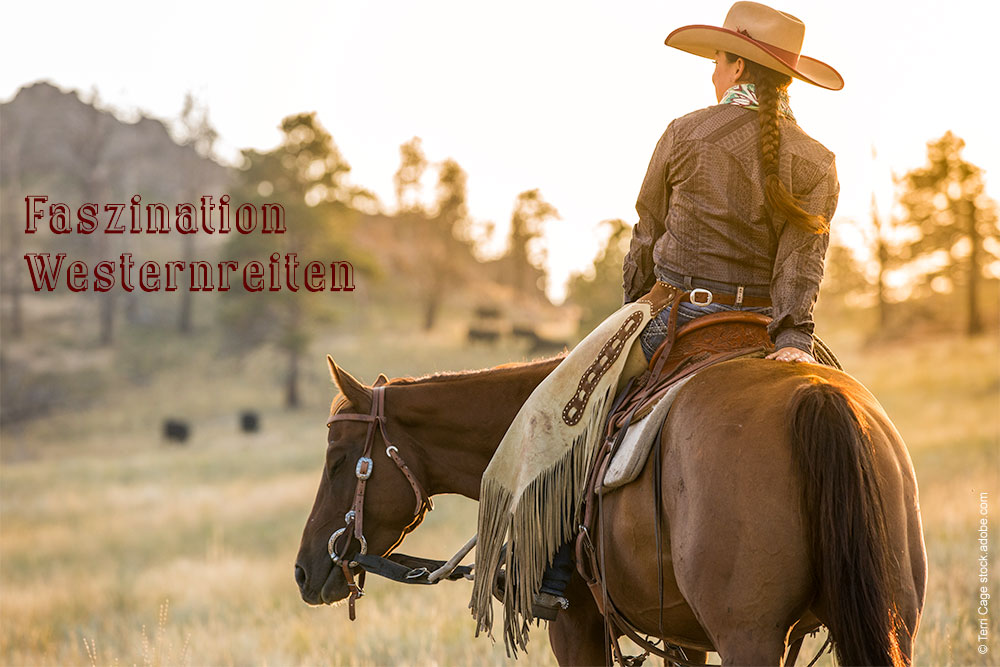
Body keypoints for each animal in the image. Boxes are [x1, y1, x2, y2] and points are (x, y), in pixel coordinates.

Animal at [292, 352, 924, 664]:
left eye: (338, 460)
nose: (304, 571)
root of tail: (815, 395)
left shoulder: (576, 627)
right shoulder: (682, 636)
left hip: (751, 639)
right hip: (891, 621)